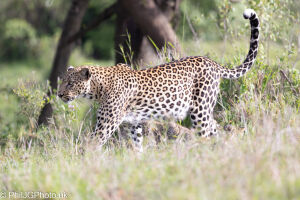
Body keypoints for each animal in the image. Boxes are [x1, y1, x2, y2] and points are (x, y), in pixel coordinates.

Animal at [57, 9, 258, 152]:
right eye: (62, 82)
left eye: (70, 83)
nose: (59, 94)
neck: (97, 88)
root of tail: (212, 62)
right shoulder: (134, 123)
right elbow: (137, 145)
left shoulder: (107, 123)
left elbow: (92, 143)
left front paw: (83, 163)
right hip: (204, 109)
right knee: (215, 128)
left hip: (200, 108)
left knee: (206, 131)